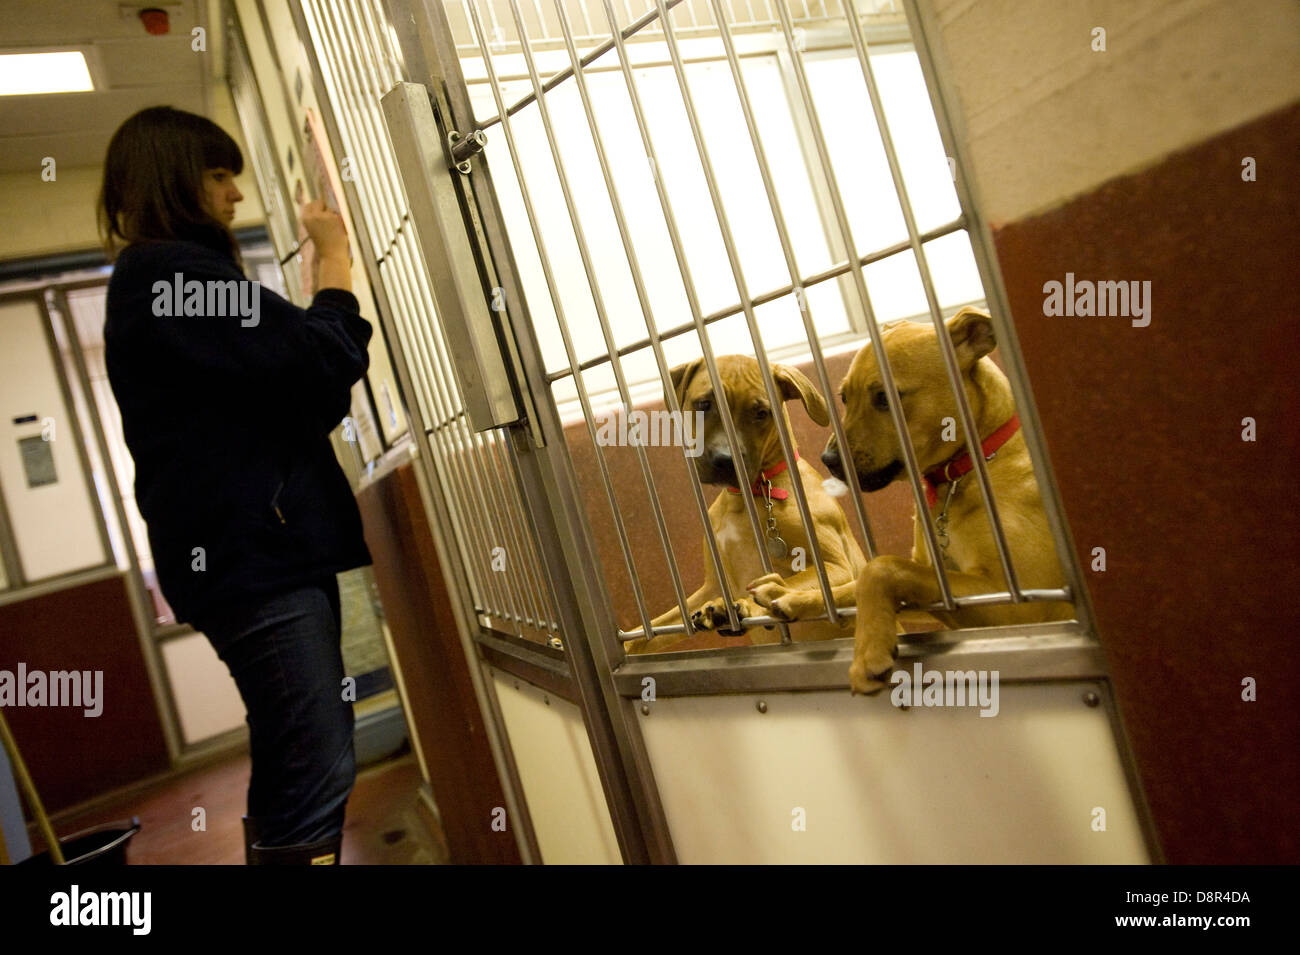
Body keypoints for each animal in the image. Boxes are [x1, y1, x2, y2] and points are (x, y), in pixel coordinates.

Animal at [626, 353, 868, 657]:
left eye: (761, 413)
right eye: (703, 404)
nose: (725, 460)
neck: (751, 495)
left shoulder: (836, 566)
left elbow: (794, 584)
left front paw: (752, 604)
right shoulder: (712, 586)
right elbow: (656, 628)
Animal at [748, 310, 1071, 691]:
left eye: (885, 397)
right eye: (844, 397)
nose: (827, 459)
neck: (961, 475)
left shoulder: (1020, 603)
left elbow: (882, 567)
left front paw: (868, 651)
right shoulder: (940, 590)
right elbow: (857, 586)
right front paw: (794, 597)